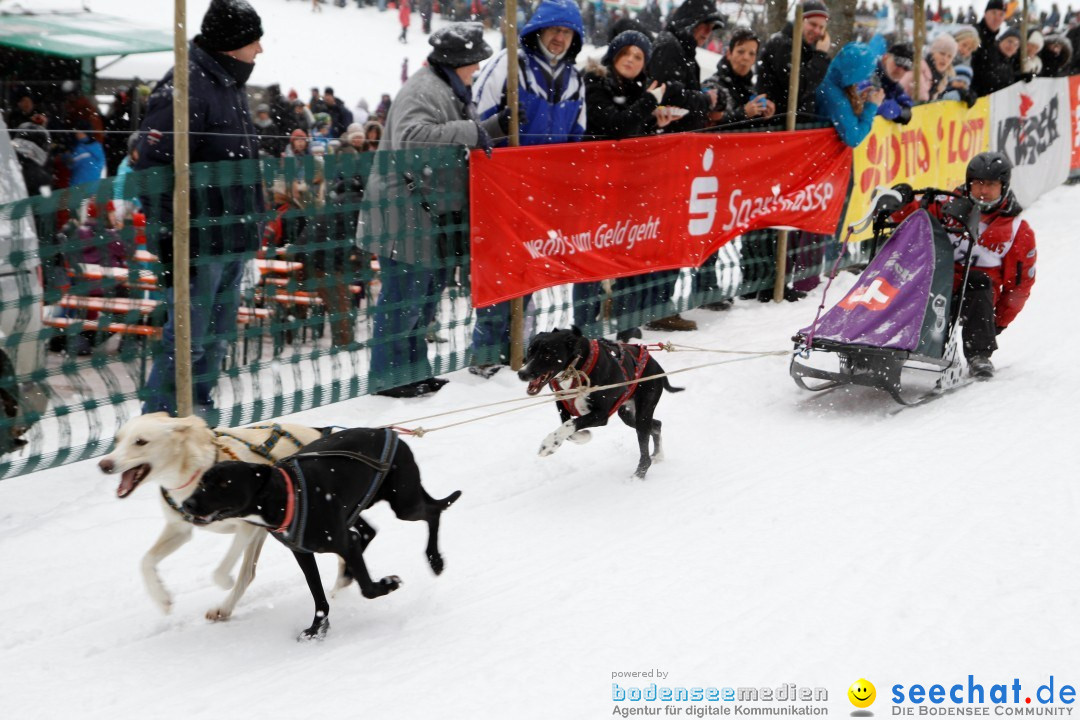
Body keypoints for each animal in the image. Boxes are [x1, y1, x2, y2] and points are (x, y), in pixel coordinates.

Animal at [98, 414, 324, 621]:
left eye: (140, 441)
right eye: (118, 440)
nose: (104, 465)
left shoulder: (247, 527)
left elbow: (220, 571)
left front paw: (225, 581)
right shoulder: (180, 529)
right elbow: (146, 561)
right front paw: (161, 598)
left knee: (246, 573)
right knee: (248, 574)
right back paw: (224, 609)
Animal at [181, 425, 460, 639]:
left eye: (224, 483)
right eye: (202, 481)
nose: (187, 504)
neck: (286, 496)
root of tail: (390, 433)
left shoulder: (344, 541)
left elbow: (368, 589)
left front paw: (388, 584)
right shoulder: (303, 553)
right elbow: (318, 595)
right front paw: (317, 629)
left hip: (404, 503)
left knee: (433, 513)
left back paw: (435, 560)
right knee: (371, 531)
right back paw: (348, 575)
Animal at [516, 325, 682, 479]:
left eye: (547, 354)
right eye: (530, 351)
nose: (522, 373)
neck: (578, 367)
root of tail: (656, 365)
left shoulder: (601, 415)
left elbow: (568, 425)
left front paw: (548, 444)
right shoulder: (562, 405)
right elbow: (568, 429)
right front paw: (583, 437)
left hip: (643, 411)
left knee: (645, 453)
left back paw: (638, 476)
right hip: (628, 415)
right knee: (656, 425)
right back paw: (658, 455)